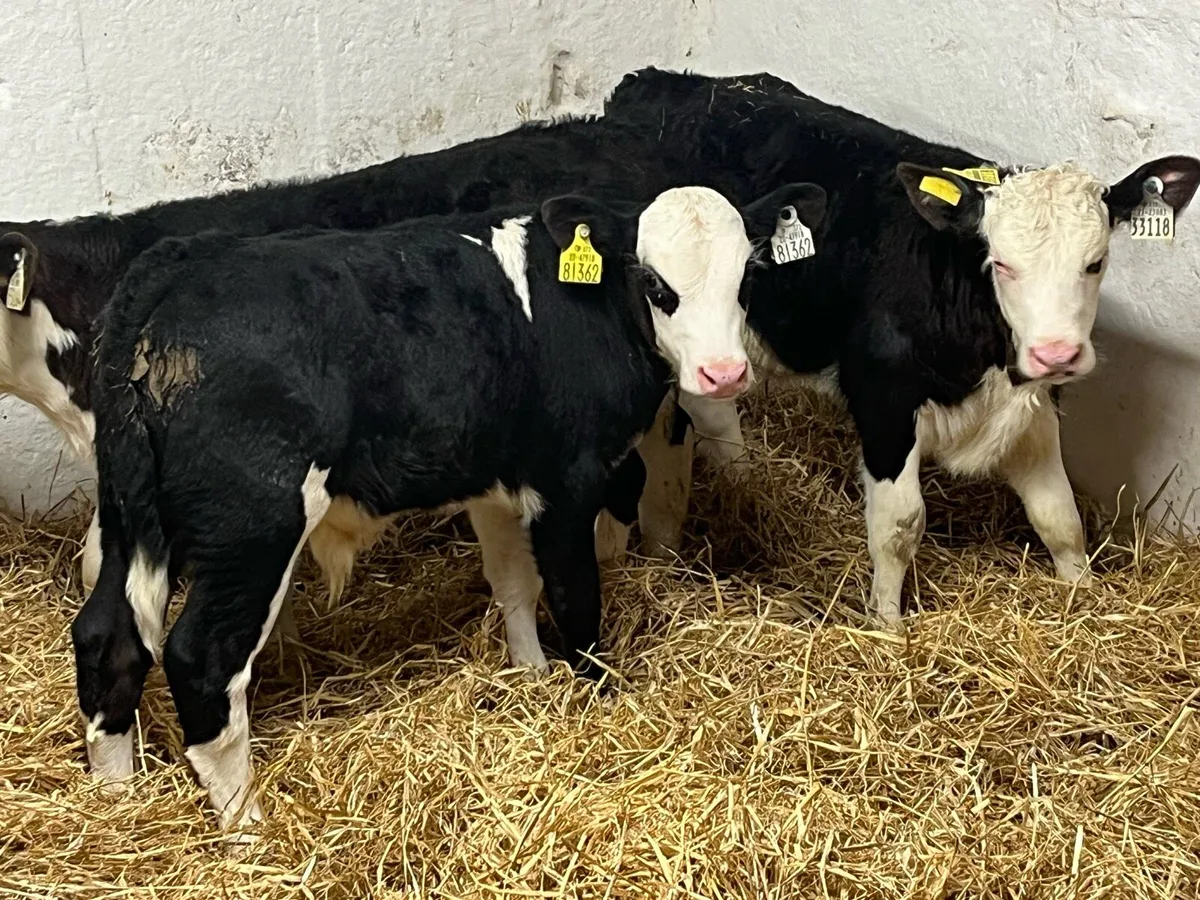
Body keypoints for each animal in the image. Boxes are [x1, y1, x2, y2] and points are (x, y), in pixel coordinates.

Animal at [73, 182, 827, 831]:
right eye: (654, 283)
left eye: (746, 278)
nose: (724, 374)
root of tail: (175, 266)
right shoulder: (569, 482)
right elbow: (576, 600)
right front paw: (599, 698)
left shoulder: (498, 479)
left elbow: (514, 583)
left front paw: (530, 674)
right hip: (251, 527)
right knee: (202, 658)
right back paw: (246, 828)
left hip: (126, 520)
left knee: (107, 637)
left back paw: (116, 797)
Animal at [599, 68, 1200, 626]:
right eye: (1001, 263)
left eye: (1096, 262)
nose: (1058, 354)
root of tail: (658, 80)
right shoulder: (883, 400)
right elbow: (899, 524)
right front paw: (886, 625)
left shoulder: (1029, 403)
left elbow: (1060, 515)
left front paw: (1084, 594)